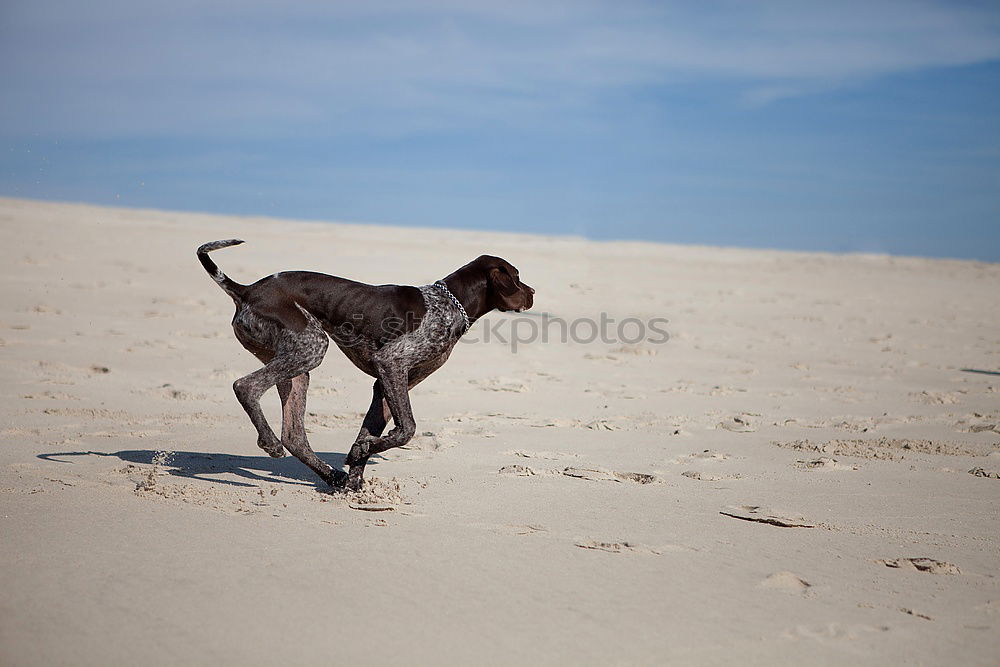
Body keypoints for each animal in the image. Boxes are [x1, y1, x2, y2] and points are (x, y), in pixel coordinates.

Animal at [198, 240, 536, 490]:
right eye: (517, 277)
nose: (533, 292)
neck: (449, 304)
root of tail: (247, 291)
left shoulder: (388, 381)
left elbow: (370, 432)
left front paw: (355, 477)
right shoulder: (391, 364)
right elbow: (407, 429)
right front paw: (360, 459)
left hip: (297, 364)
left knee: (294, 435)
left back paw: (331, 476)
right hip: (311, 348)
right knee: (245, 386)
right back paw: (269, 443)